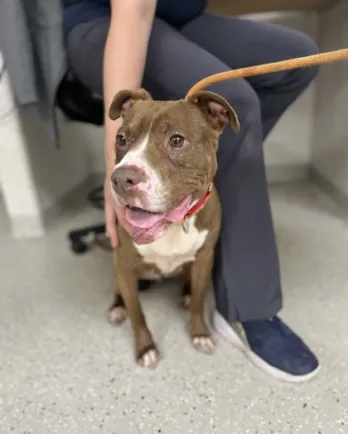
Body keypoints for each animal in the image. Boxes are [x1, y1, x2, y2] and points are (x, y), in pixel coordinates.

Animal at [107, 88, 241, 370]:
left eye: (177, 140)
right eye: (121, 138)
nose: (121, 179)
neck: (171, 227)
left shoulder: (204, 257)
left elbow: (200, 300)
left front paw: (200, 333)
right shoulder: (124, 265)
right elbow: (137, 313)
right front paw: (146, 349)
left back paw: (186, 293)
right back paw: (117, 307)